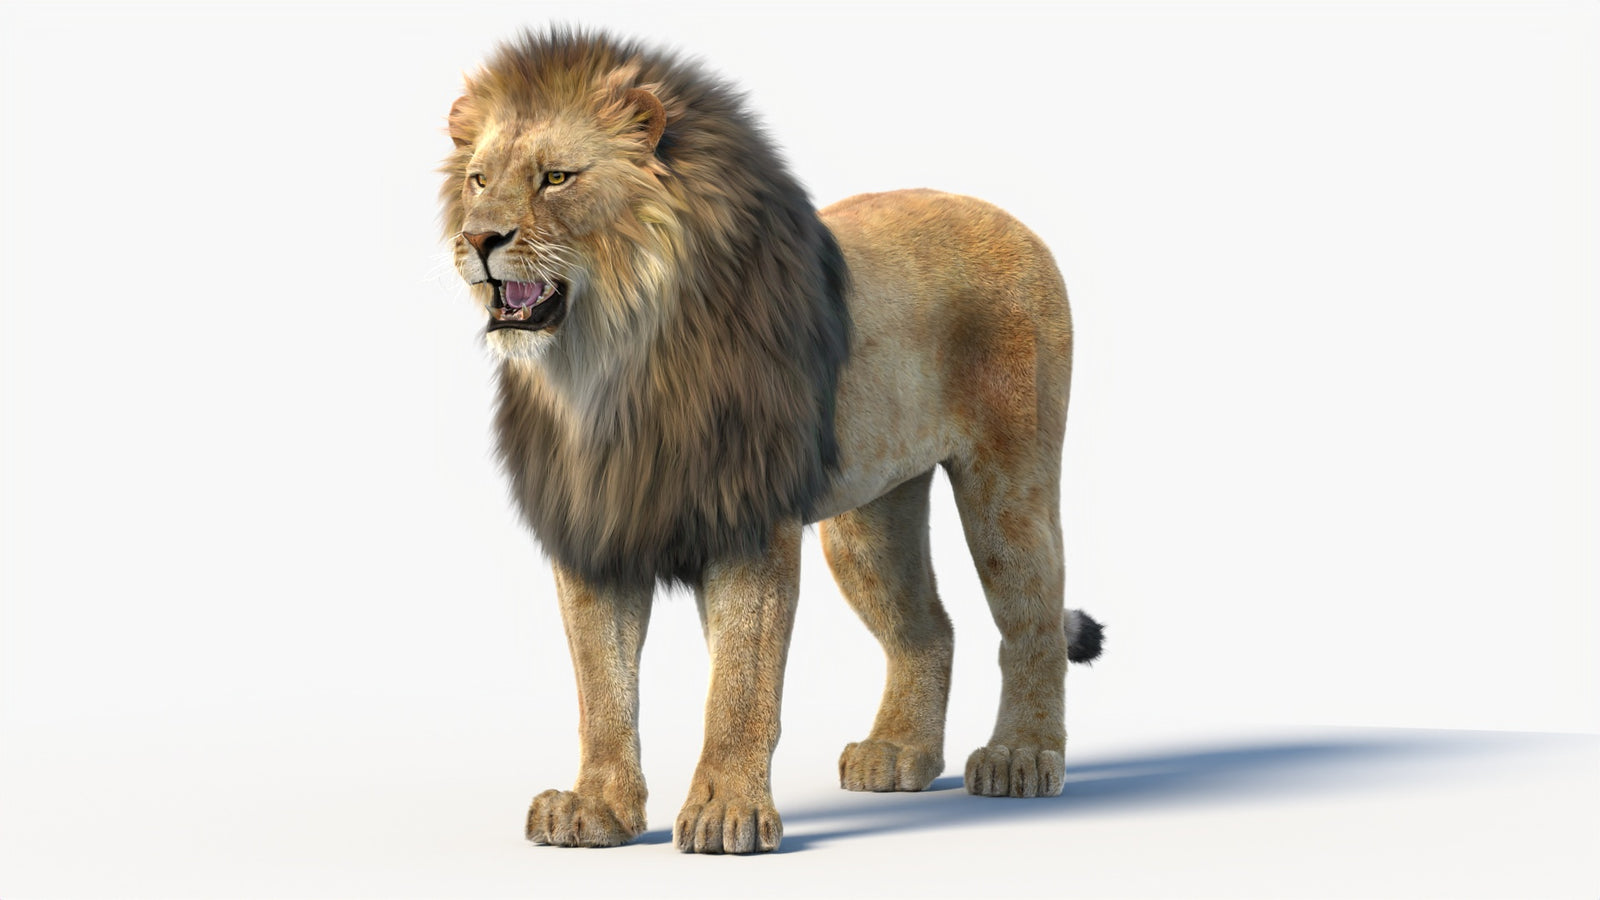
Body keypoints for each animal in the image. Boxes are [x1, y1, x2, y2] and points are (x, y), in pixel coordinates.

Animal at [440, 29, 1104, 854]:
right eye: (477, 180)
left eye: (557, 178)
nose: (477, 238)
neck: (609, 366)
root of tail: (1010, 219)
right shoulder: (595, 527)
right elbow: (603, 685)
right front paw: (596, 809)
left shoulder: (748, 521)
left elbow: (740, 683)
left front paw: (726, 814)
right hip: (870, 519)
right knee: (930, 628)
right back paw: (898, 753)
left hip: (1007, 486)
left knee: (1033, 618)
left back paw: (1021, 756)